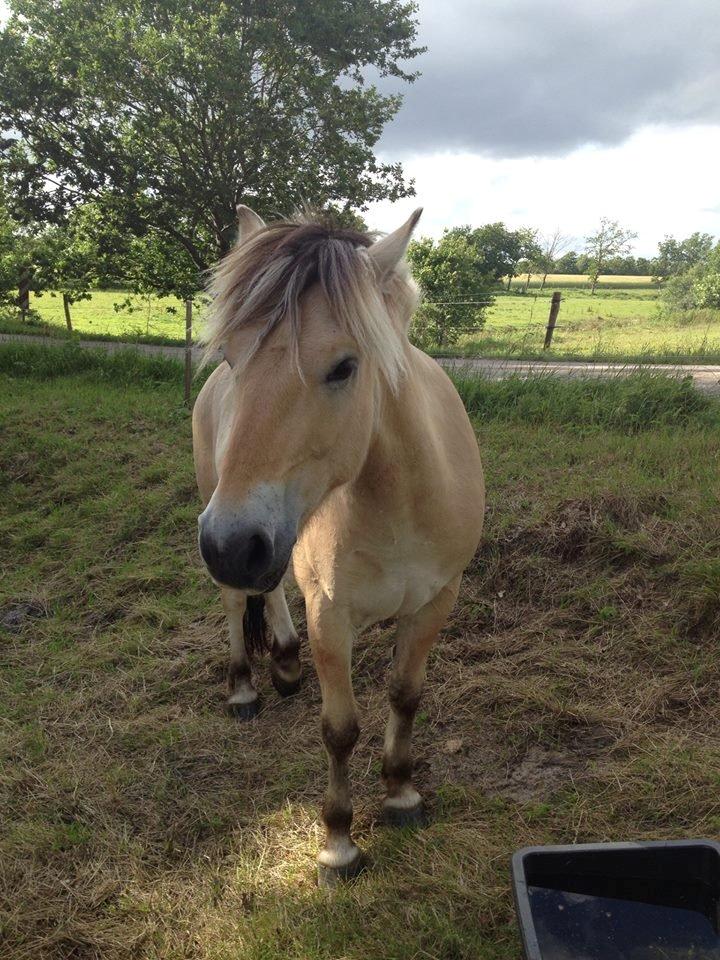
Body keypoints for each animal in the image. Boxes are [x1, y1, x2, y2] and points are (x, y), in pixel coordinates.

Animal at [191, 206, 484, 888]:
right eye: (232, 357)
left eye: (344, 366)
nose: (229, 543)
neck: (399, 501)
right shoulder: (331, 614)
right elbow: (340, 729)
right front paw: (339, 843)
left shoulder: (435, 601)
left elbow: (406, 695)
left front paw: (401, 795)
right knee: (235, 601)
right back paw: (244, 688)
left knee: (268, 589)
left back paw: (285, 663)